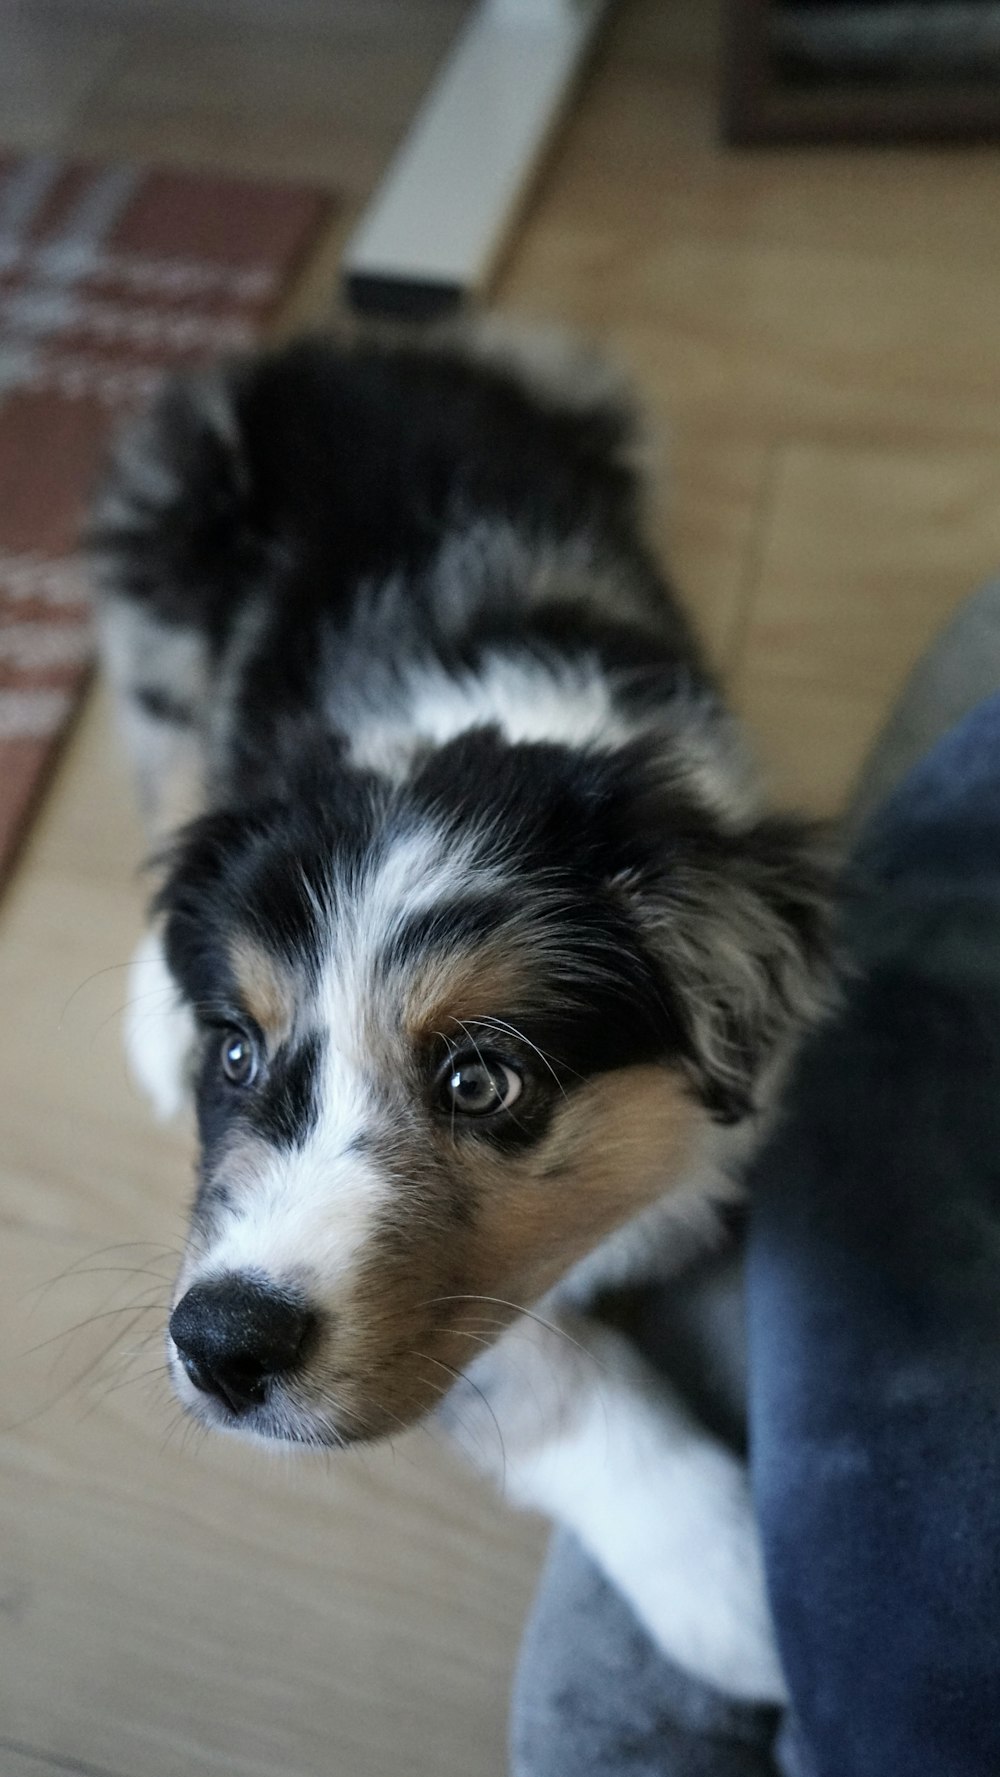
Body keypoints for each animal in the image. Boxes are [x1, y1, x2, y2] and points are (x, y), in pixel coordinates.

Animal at [91, 330, 831, 1705]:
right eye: (239, 1050)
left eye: (482, 1080)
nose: (219, 1345)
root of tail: (348, 344)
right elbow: (548, 1365)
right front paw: (727, 1587)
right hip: (161, 561)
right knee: (168, 755)